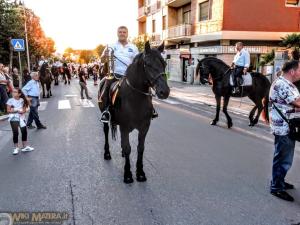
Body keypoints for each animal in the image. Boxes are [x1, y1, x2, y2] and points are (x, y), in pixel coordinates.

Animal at [98, 41, 170, 184]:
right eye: (148, 64)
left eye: (164, 64)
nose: (164, 91)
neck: (136, 97)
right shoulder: (125, 127)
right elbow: (128, 148)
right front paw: (128, 174)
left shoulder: (144, 127)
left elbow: (140, 148)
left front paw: (140, 173)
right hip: (106, 120)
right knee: (106, 133)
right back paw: (107, 153)